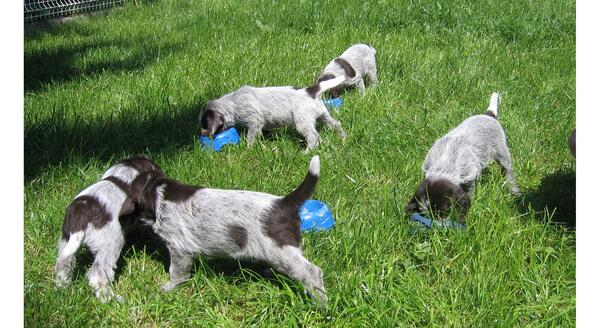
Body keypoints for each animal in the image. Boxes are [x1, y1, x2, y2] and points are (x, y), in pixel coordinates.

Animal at [55, 156, 164, 302]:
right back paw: (111, 299)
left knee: (63, 265)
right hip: (112, 243)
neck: (122, 176)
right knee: (97, 276)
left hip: (66, 241)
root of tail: (81, 217)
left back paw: (62, 289)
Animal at [122, 156, 328, 302]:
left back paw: (320, 304)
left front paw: (168, 288)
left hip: (280, 250)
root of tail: (284, 203)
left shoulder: (179, 247)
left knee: (312, 273)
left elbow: (177, 272)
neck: (157, 192)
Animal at [406, 92, 524, 220]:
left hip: (501, 150)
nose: (437, 224)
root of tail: (488, 115)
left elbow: (468, 194)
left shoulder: (469, 177)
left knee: (508, 170)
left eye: (444, 210)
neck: (443, 166)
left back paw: (514, 189)